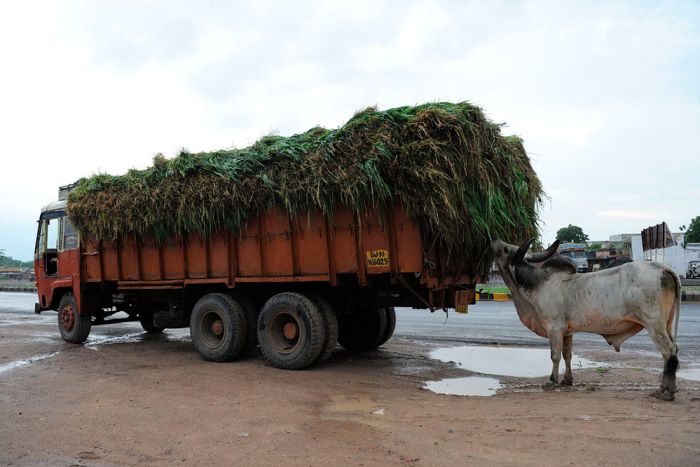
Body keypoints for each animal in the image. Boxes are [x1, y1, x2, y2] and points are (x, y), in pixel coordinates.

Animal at [490, 239, 680, 400]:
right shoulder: (567, 332)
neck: (539, 283)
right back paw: (663, 388)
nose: (494, 242)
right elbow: (567, 355)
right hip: (667, 324)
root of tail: (662, 268)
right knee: (672, 352)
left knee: (668, 351)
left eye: (505, 249)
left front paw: (552, 381)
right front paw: (567, 380)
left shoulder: (554, 328)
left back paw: (668, 392)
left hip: (654, 324)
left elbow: (555, 355)